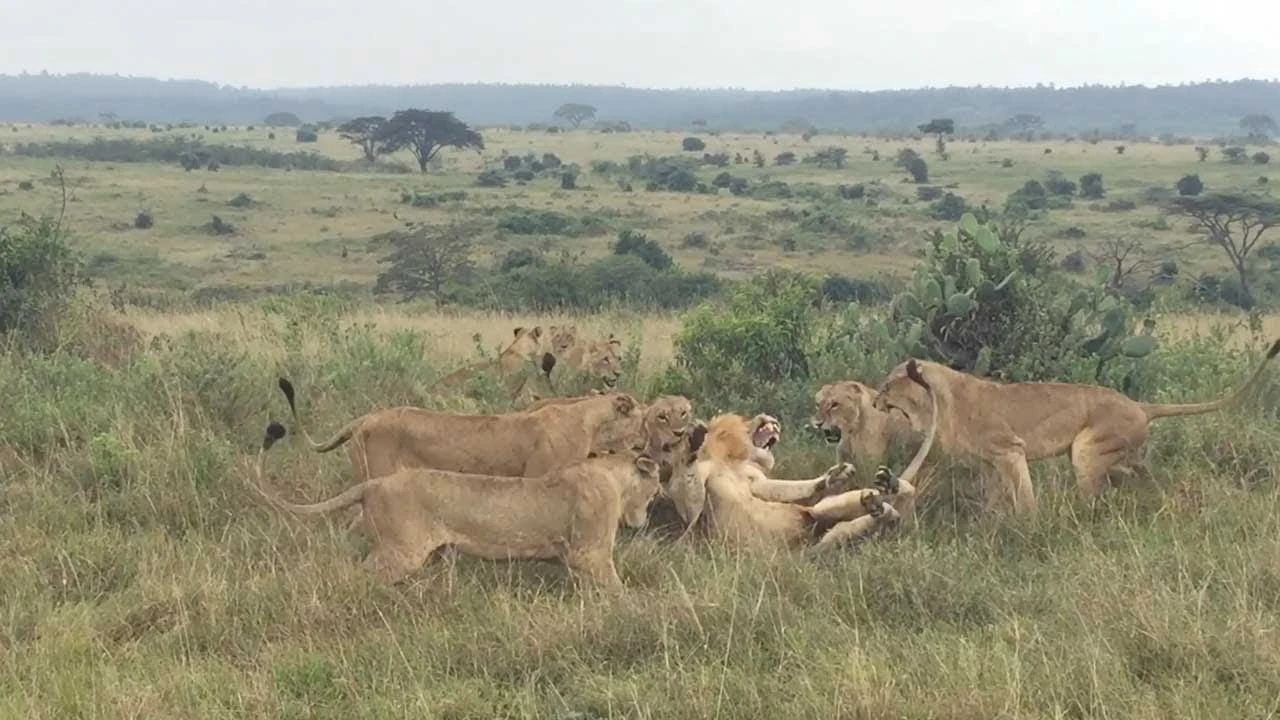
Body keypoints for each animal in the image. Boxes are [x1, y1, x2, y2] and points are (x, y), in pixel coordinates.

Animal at [249, 422, 663, 592]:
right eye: (657, 486)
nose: (645, 518)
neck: (611, 475)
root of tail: (375, 484)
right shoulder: (590, 553)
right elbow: (617, 589)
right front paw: (633, 608)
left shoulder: (575, 559)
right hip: (401, 551)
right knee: (361, 575)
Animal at [872, 338, 1280, 515]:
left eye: (887, 386)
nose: (874, 403)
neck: (939, 400)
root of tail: (1139, 405)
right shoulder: (989, 461)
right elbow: (994, 497)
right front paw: (991, 523)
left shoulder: (1010, 450)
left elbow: (1024, 496)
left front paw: (1028, 526)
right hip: (1109, 452)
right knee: (1137, 472)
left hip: (1086, 450)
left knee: (1098, 492)